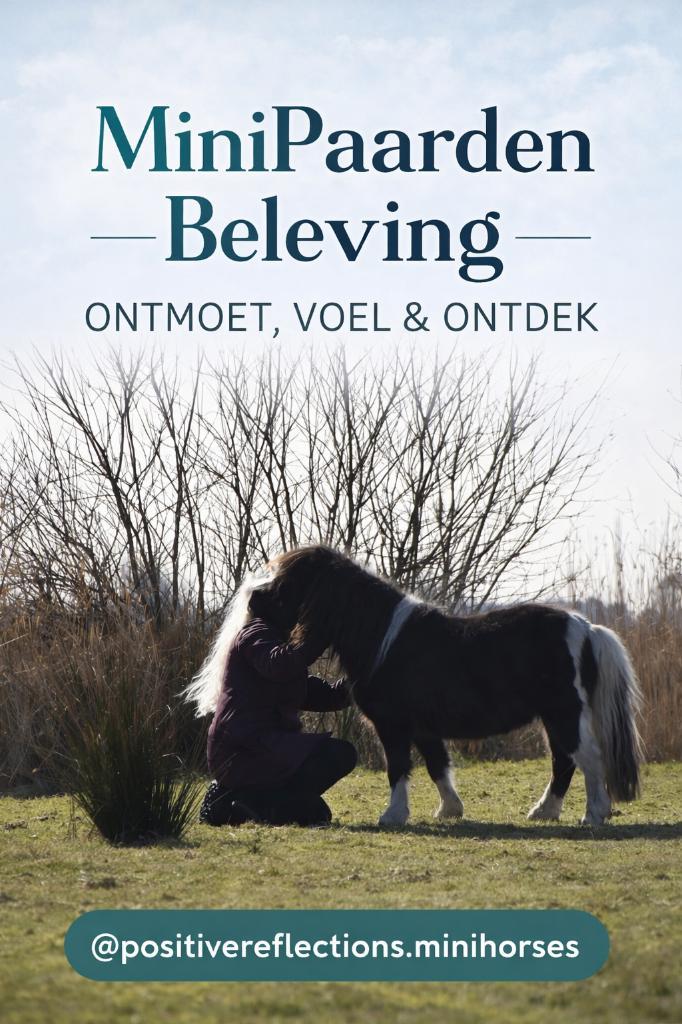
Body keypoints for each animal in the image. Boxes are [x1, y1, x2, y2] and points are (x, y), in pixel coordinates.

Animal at [186, 544, 644, 828]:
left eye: (288, 583)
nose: (252, 600)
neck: (381, 638)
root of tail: (585, 628)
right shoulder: (424, 728)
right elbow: (438, 765)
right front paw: (450, 811)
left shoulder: (395, 726)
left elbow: (398, 768)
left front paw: (393, 815)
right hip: (555, 717)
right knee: (564, 762)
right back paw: (544, 812)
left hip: (564, 713)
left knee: (586, 758)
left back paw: (593, 814)